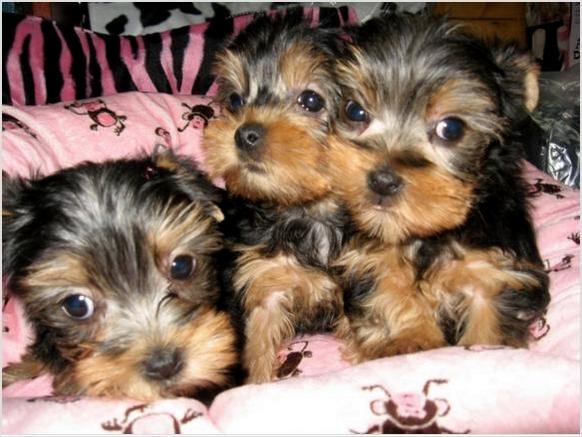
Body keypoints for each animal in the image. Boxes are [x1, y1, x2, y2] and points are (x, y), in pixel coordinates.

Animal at [203, 8, 354, 380]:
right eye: (235, 100)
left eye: (311, 100)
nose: (245, 134)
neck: (306, 211)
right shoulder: (261, 284)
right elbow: (257, 346)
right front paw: (258, 382)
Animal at [330, 14, 556, 362]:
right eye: (355, 111)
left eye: (451, 128)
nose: (382, 180)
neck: (427, 237)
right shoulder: (371, 261)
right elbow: (388, 291)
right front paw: (406, 341)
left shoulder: (494, 271)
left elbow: (489, 326)